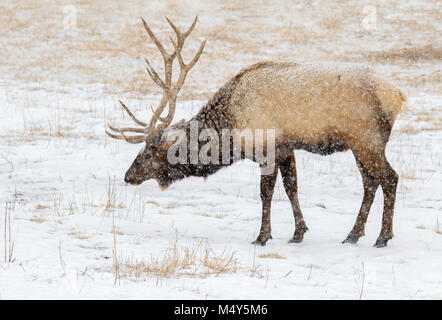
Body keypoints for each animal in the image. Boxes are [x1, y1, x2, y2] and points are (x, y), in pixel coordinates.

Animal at [106, 16, 404, 248]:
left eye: (149, 152)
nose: (128, 176)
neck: (232, 132)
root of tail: (399, 96)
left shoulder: (266, 148)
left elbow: (266, 193)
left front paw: (262, 236)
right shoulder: (285, 147)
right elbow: (292, 188)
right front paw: (298, 233)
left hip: (367, 139)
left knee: (389, 178)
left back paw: (382, 237)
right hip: (359, 145)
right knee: (370, 183)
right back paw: (353, 234)